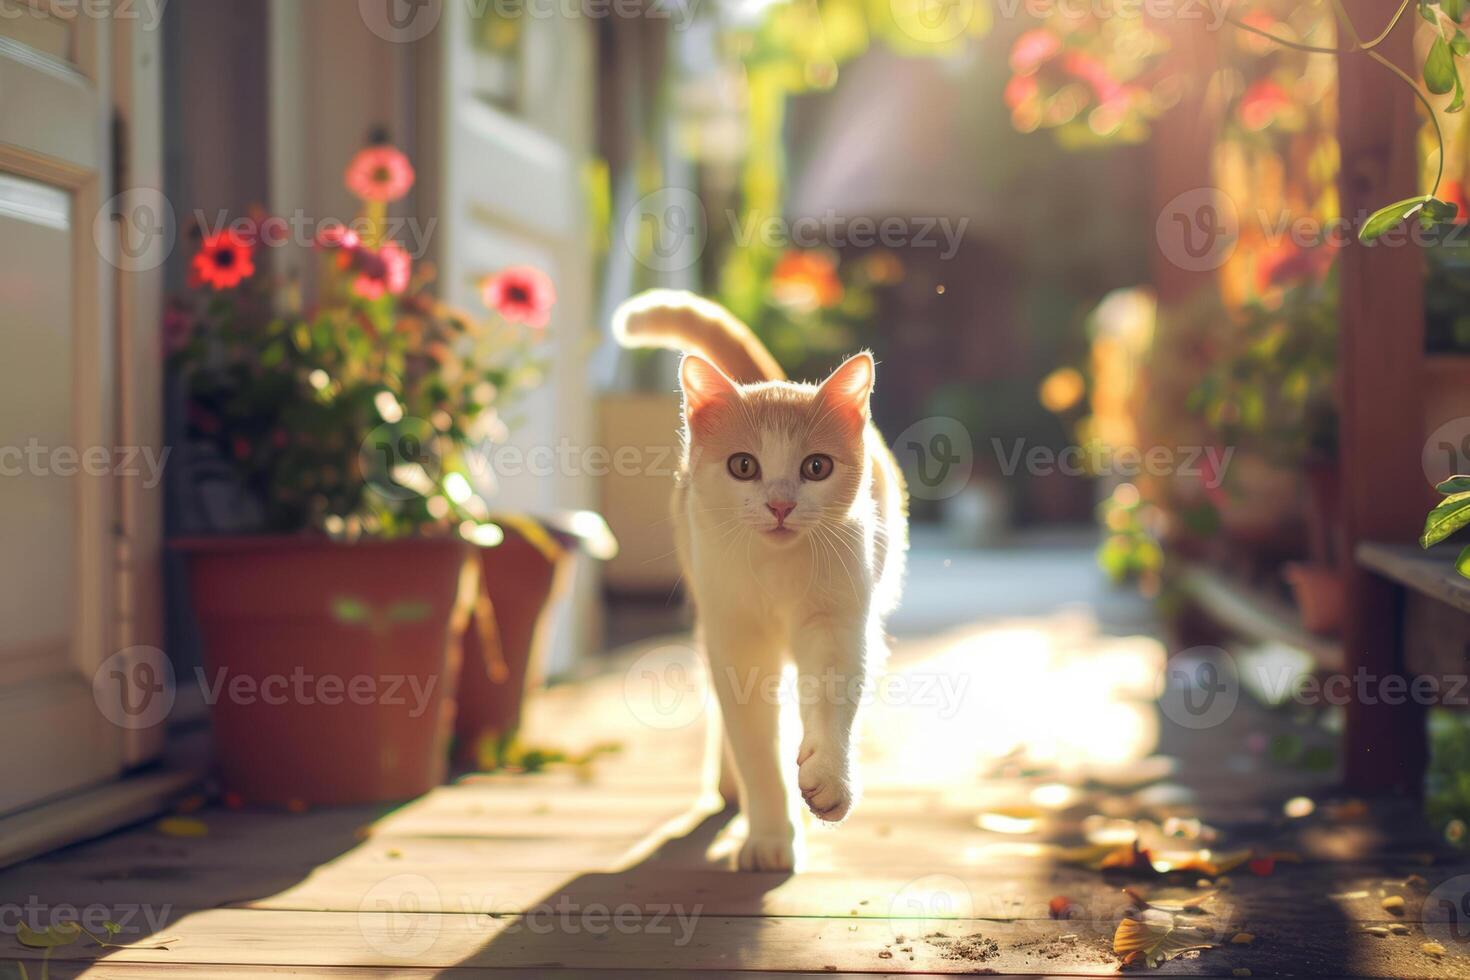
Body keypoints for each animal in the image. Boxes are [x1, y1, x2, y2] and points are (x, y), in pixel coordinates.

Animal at [611, 287, 905, 869]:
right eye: (743, 466)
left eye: (817, 467)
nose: (780, 505)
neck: (778, 574)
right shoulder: (735, 637)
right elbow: (755, 744)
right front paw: (769, 836)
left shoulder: (839, 622)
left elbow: (833, 701)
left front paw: (828, 778)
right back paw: (729, 788)